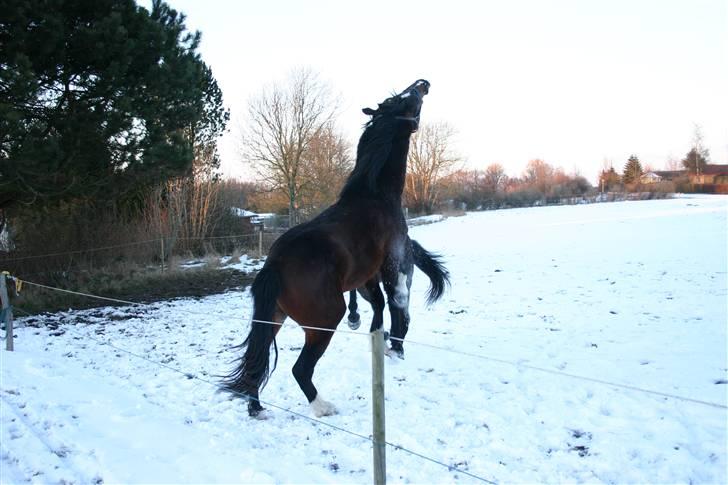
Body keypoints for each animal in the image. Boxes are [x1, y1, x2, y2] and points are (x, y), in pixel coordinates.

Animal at [220, 79, 426, 416]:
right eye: (404, 99)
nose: (423, 83)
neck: (375, 196)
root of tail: (274, 264)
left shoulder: (365, 276)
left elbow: (379, 306)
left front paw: (377, 338)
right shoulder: (393, 264)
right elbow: (398, 305)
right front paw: (395, 348)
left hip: (273, 318)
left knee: (255, 362)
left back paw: (256, 408)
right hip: (324, 321)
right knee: (300, 369)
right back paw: (322, 406)